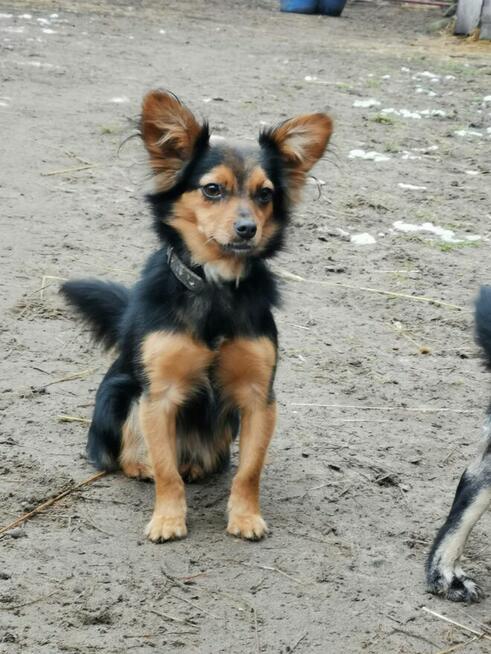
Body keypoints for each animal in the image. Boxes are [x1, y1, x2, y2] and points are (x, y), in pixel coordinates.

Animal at [59, 91, 332, 544]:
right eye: (212, 189)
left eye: (265, 194)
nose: (247, 229)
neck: (215, 287)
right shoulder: (159, 396)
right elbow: (166, 470)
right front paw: (168, 519)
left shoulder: (258, 397)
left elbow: (250, 470)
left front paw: (245, 517)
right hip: (121, 391)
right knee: (127, 455)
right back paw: (141, 465)